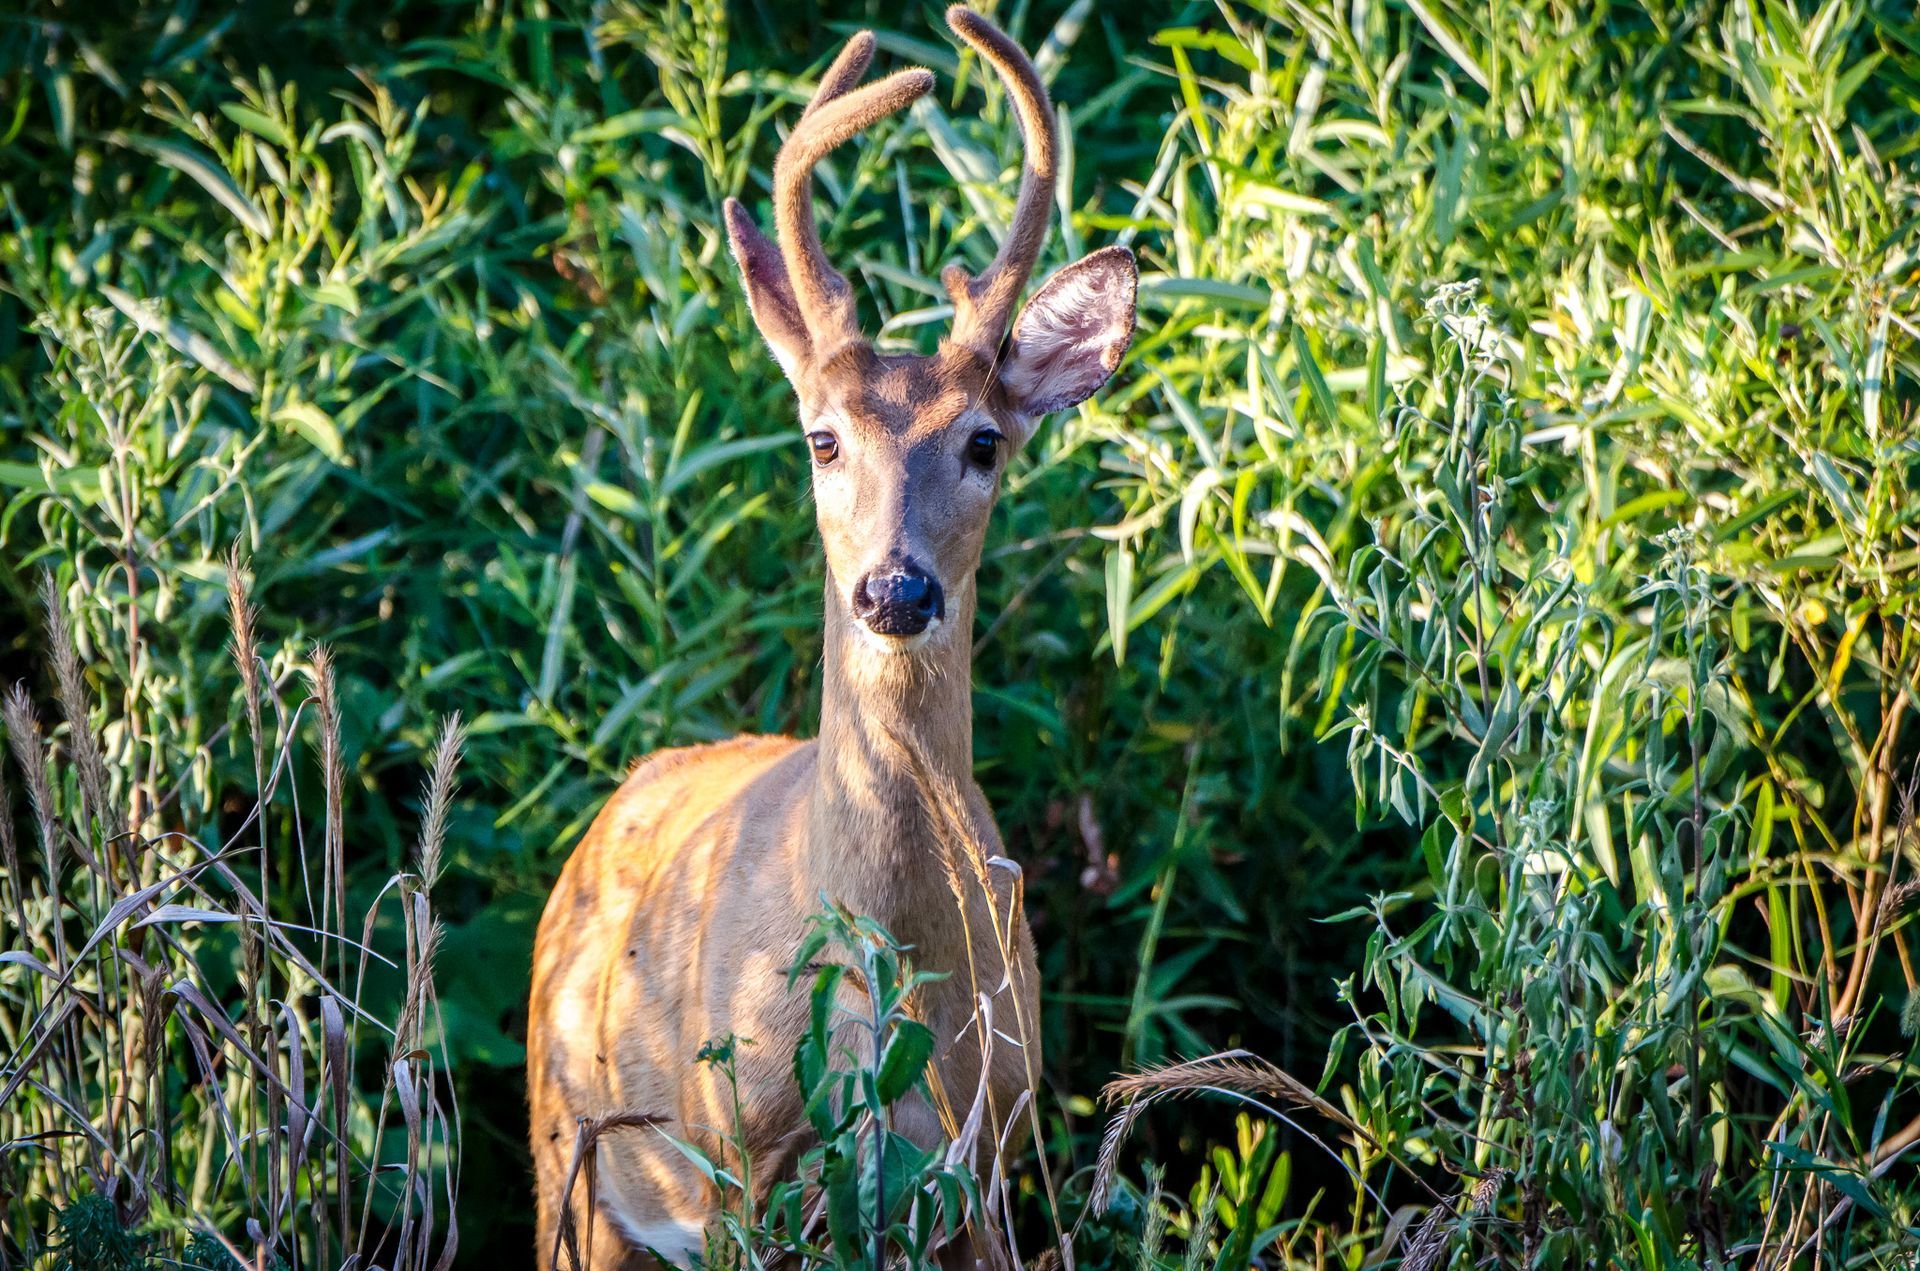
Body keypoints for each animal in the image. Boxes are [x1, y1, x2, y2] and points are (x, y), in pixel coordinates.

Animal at [527, 7, 1137, 1267]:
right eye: (820, 437)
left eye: (985, 440)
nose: (894, 589)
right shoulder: (736, 1163)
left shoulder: (989, 1153)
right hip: (569, 1152)